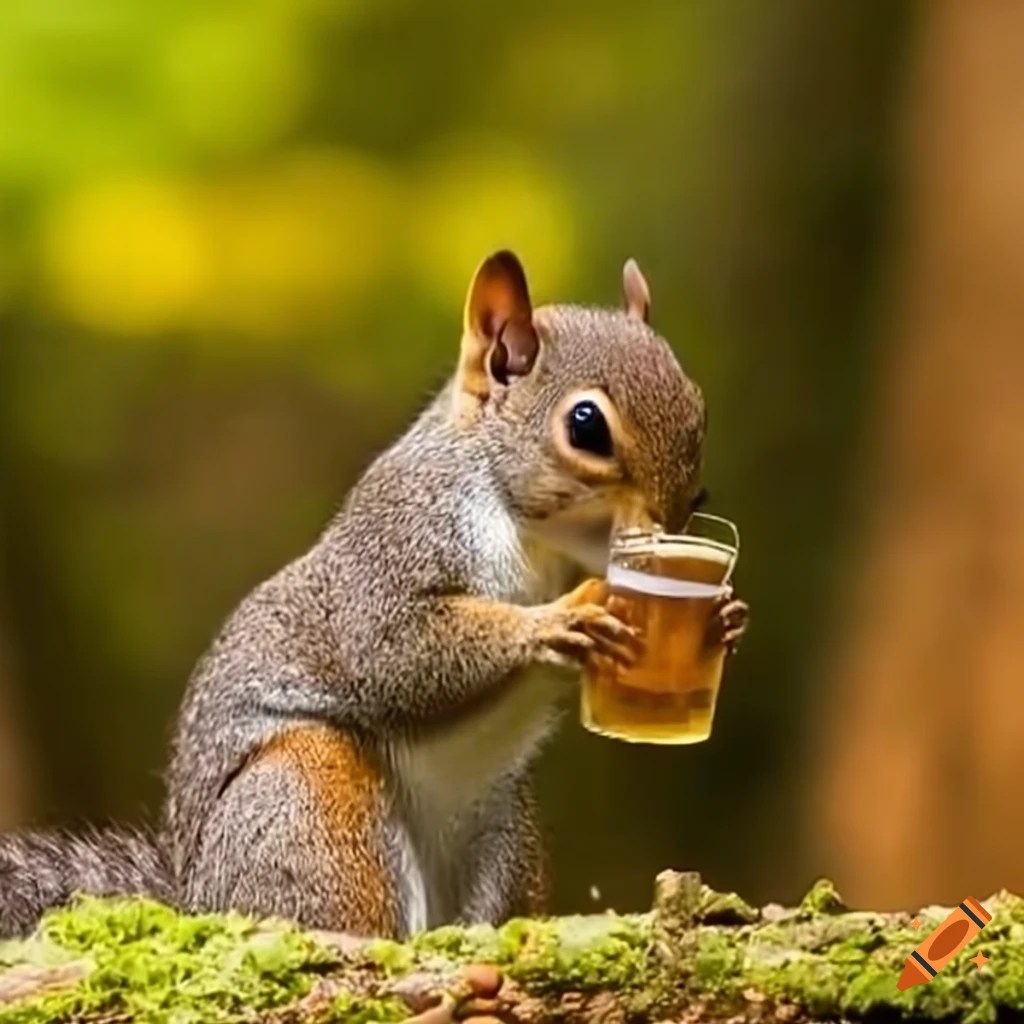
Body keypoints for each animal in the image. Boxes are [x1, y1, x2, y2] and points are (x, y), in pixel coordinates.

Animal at [0, 251, 748, 939]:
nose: (683, 515)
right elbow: (393, 651)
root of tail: (197, 901)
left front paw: (722, 617)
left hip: (505, 827)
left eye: (699, 404)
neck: (542, 543)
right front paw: (558, 619)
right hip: (311, 799)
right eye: (586, 426)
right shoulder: (396, 544)